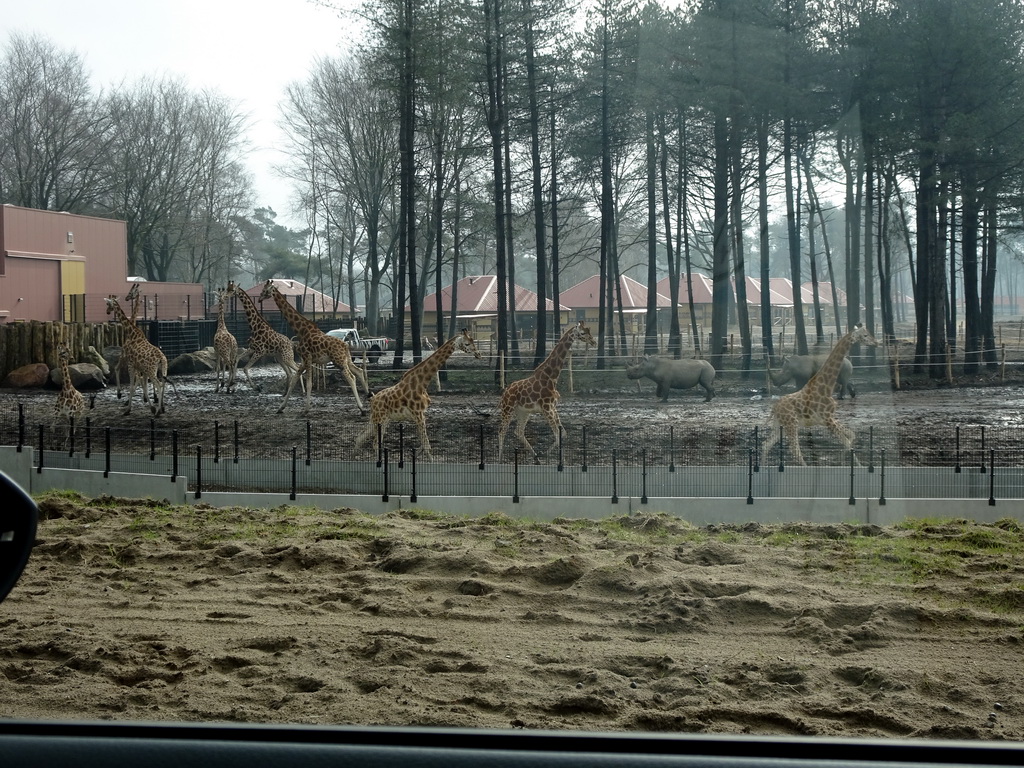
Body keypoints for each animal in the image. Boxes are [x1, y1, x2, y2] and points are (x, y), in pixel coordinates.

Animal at [258, 280, 370, 415]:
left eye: (265, 290)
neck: (301, 330)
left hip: (338, 361)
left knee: (351, 377)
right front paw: (281, 408)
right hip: (346, 359)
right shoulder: (304, 360)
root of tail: (345, 345)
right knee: (359, 371)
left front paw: (306, 409)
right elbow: (295, 380)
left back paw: (362, 408)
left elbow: (309, 383)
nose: (259, 299)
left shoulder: (307, 357)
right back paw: (368, 396)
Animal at [354, 327, 481, 460]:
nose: (478, 354)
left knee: (361, 437)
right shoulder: (418, 414)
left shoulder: (421, 415)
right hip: (380, 418)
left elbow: (423, 445)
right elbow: (426, 446)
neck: (422, 383)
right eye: (467, 343)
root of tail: (373, 399)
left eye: (472, 341)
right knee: (374, 443)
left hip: (381, 419)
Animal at [493, 319, 593, 462]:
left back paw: (536, 458)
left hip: (523, 411)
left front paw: (552, 457)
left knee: (518, 431)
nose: (593, 341)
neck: (551, 378)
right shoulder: (547, 408)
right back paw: (500, 459)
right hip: (508, 409)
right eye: (583, 333)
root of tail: (504, 393)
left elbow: (563, 433)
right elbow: (557, 434)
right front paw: (554, 458)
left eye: (589, 331)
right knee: (502, 430)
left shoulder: (553, 408)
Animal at [761, 321, 880, 466]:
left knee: (766, 444)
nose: (876, 342)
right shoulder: (827, 419)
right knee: (795, 450)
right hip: (791, 423)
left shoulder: (828, 418)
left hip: (779, 424)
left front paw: (847, 462)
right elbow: (846, 441)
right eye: (865, 335)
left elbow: (851, 436)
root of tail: (774, 407)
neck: (826, 386)